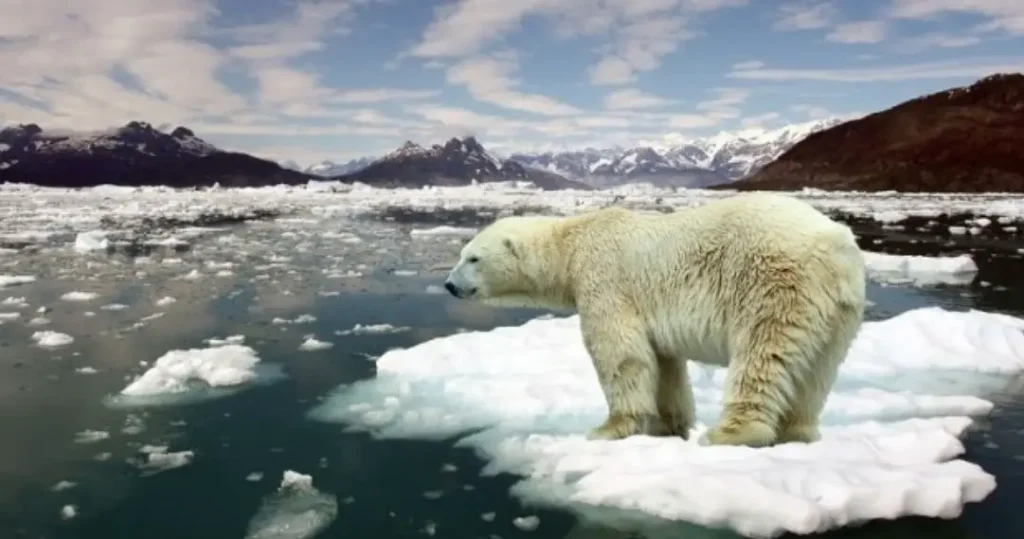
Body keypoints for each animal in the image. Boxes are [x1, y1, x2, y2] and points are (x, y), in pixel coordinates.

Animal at [442, 193, 864, 448]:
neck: (572, 244)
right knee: (817, 372)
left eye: (473, 258)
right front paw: (668, 427)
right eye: (462, 254)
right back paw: (798, 433)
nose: (448, 285)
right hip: (838, 312)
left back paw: (729, 433)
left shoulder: (605, 280)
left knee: (762, 354)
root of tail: (836, 246)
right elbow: (664, 364)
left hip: (773, 282)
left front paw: (608, 429)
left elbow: (620, 353)